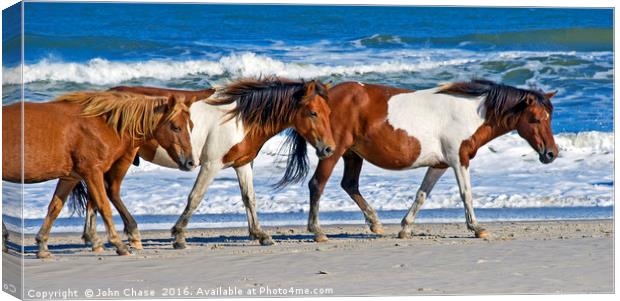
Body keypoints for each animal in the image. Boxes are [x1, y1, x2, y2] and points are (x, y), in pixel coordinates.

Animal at [1, 91, 196, 255]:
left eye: (191, 126)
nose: (190, 162)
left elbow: (55, 208)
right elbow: (104, 206)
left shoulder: (70, 177)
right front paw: (119, 244)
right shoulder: (92, 173)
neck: (101, 125)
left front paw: (42, 245)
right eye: (176, 127)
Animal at [81, 77, 334, 248]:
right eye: (313, 112)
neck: (240, 119)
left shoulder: (242, 164)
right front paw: (179, 235)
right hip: (121, 158)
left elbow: (249, 198)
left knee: (96, 194)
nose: (328, 148)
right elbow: (195, 197)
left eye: (328, 111)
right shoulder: (211, 165)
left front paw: (260, 234)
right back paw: (130, 234)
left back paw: (92, 238)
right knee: (109, 190)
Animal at [302, 79, 560, 241]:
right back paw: (317, 231)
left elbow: (422, 195)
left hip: (352, 155)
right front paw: (477, 228)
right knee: (317, 184)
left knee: (349, 185)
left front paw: (405, 228)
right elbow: (466, 194)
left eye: (549, 117)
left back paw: (375, 223)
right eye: (536, 118)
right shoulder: (459, 160)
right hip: (333, 152)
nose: (551, 153)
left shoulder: (439, 165)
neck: (470, 114)